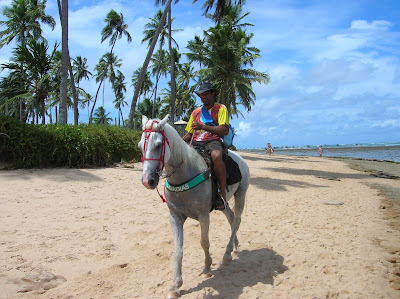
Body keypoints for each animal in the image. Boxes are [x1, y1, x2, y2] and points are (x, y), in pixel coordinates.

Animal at [139, 115, 248, 298]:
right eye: (140, 146)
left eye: (158, 145)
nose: (148, 181)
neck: (185, 173)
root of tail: (241, 159)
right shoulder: (175, 217)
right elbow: (178, 250)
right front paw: (176, 285)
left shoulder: (204, 215)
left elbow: (204, 242)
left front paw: (207, 267)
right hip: (224, 203)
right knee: (232, 218)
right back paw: (234, 246)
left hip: (241, 194)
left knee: (237, 220)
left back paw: (227, 253)